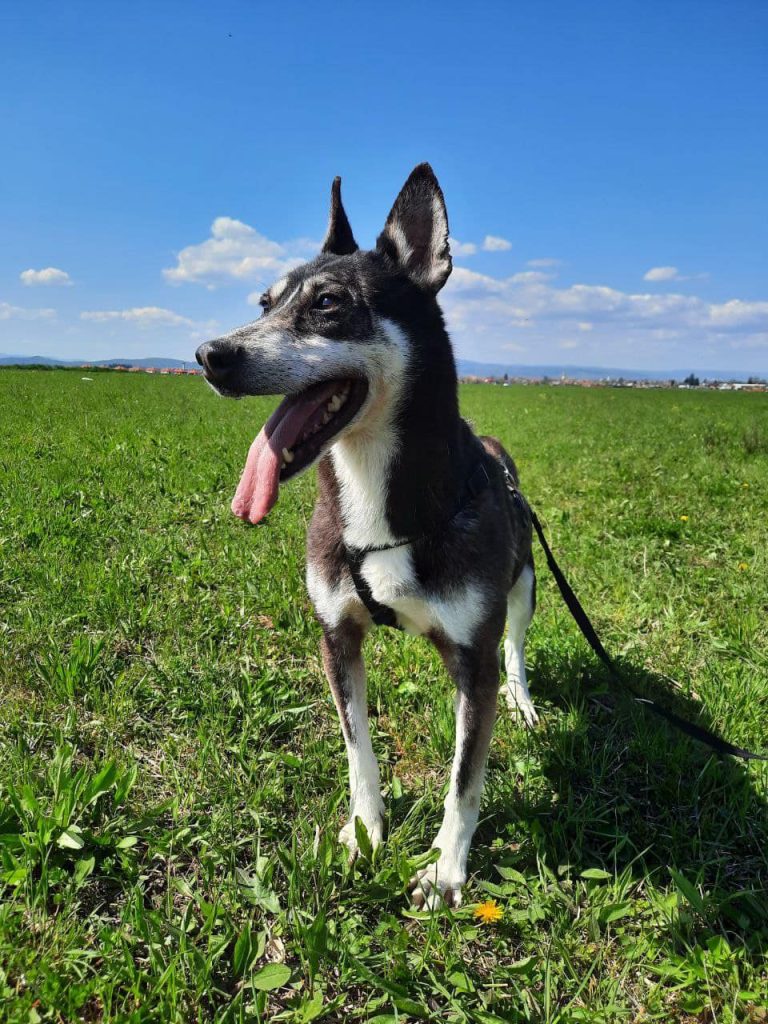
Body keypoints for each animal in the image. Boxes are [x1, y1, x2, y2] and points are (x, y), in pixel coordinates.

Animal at [195, 167, 536, 913]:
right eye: (264, 301)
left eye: (328, 303)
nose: (209, 355)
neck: (375, 498)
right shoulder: (335, 635)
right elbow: (358, 749)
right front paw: (365, 831)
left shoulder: (473, 658)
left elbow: (464, 781)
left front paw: (444, 869)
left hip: (525, 584)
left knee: (517, 647)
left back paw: (524, 700)